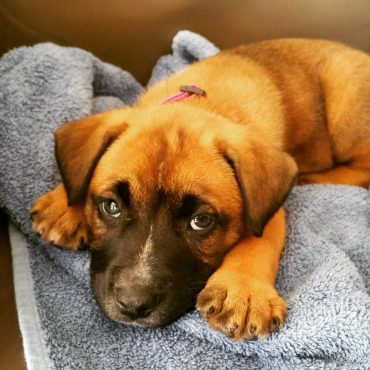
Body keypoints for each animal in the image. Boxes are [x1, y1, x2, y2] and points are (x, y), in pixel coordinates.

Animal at [30, 39, 370, 340]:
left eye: (201, 222)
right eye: (110, 206)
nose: (133, 305)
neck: (201, 105)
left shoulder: (269, 210)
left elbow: (259, 240)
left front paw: (244, 290)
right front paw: (64, 204)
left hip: (345, 110)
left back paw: (312, 177)